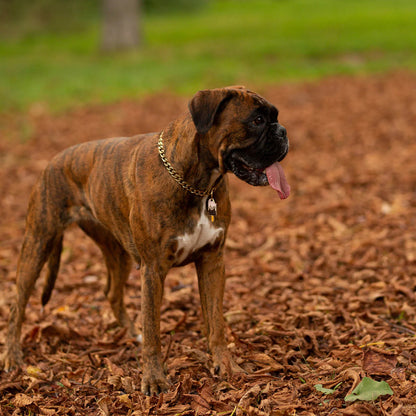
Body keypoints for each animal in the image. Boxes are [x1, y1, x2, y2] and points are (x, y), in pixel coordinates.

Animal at [1, 86, 290, 394]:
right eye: (257, 120)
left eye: (275, 117)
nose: (283, 131)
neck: (197, 183)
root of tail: (53, 161)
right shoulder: (153, 270)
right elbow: (153, 329)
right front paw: (154, 379)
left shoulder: (213, 262)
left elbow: (216, 323)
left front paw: (226, 366)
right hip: (38, 243)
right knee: (17, 304)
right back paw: (12, 357)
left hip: (118, 253)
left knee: (112, 293)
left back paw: (131, 334)